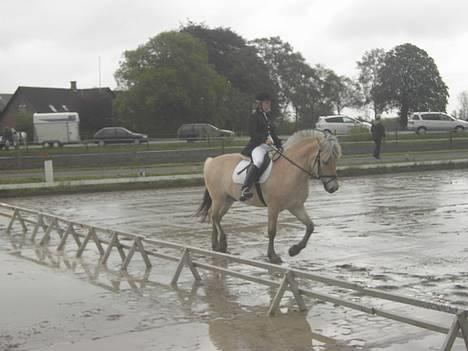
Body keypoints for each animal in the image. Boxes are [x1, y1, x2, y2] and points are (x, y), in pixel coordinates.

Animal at [196, 130, 342, 264]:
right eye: (325, 161)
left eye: (336, 160)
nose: (333, 188)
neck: (291, 170)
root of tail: (211, 161)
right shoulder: (273, 207)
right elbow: (272, 231)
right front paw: (273, 256)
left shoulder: (295, 206)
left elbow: (310, 226)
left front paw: (294, 250)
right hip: (218, 198)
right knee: (214, 216)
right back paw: (222, 243)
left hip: (228, 200)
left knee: (215, 216)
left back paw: (216, 244)